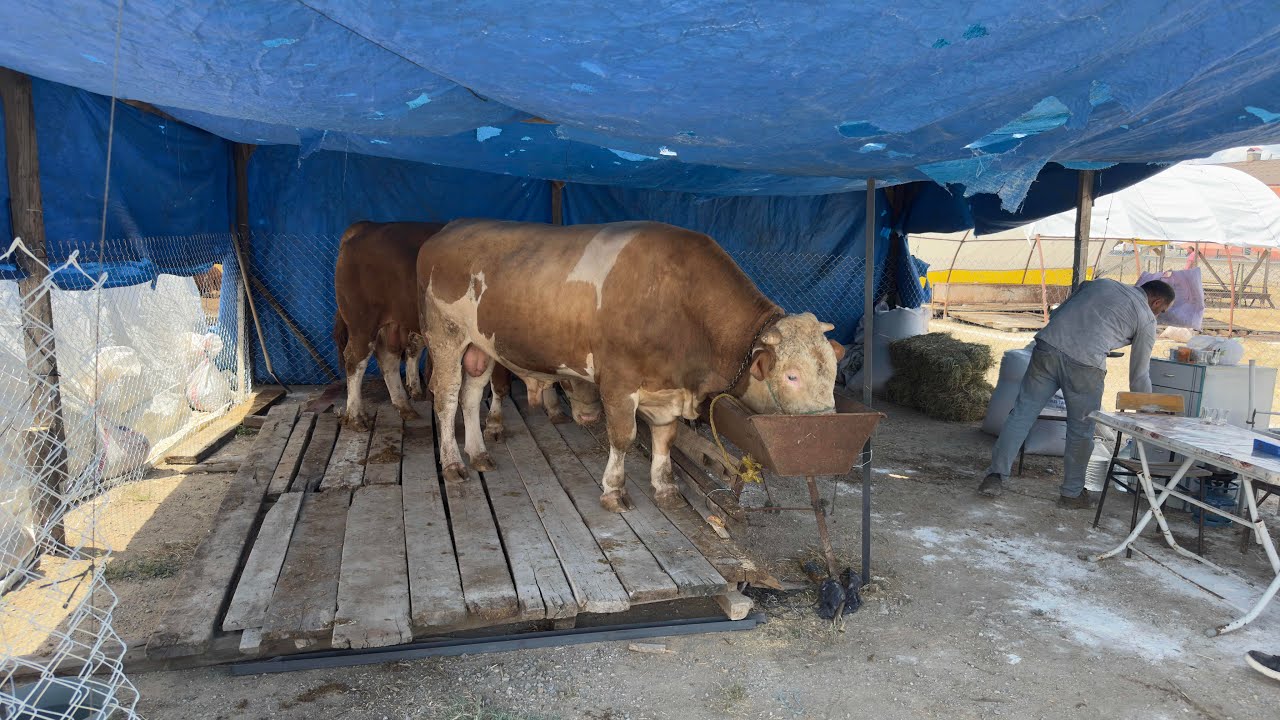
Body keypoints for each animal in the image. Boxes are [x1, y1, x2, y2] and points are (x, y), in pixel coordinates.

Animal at [334, 221, 598, 434]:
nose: (590, 416)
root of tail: (367, 226)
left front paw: (554, 409)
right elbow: (500, 386)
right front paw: (494, 423)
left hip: (392, 324)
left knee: (388, 359)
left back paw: (404, 406)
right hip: (362, 323)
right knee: (355, 361)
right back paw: (355, 416)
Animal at [417, 219, 844, 513]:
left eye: (833, 375)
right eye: (791, 375)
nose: (826, 430)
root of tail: (447, 230)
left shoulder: (668, 391)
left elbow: (665, 439)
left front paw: (666, 488)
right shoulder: (619, 383)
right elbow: (622, 437)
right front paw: (614, 490)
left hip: (481, 346)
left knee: (471, 395)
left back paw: (478, 453)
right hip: (445, 334)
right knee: (447, 398)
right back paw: (453, 464)